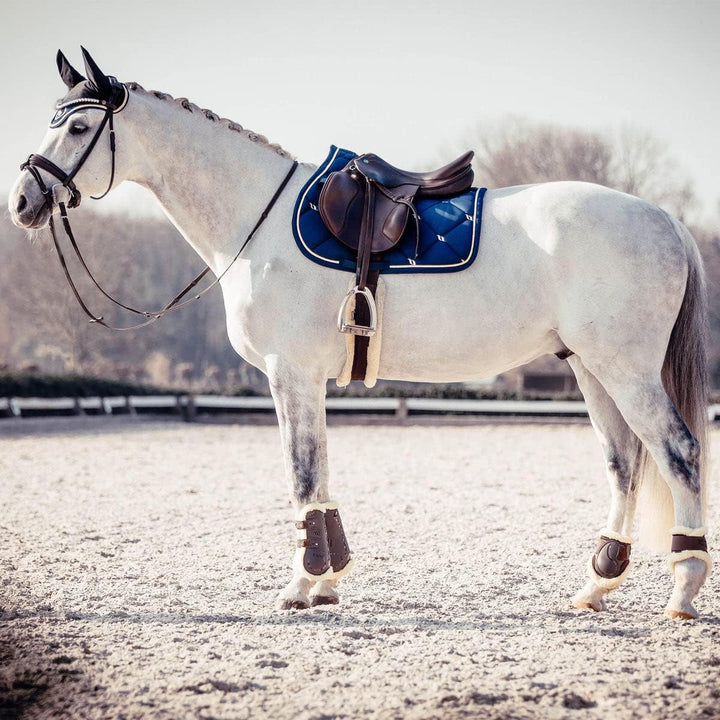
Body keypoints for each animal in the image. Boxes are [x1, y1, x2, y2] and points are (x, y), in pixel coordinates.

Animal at [8, 48, 711, 619]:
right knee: (625, 463)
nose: (22, 202)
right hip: (591, 368)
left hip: (625, 370)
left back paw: (683, 589)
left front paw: (300, 585)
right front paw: (328, 580)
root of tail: (665, 220)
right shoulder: (306, 379)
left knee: (679, 452)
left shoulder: (288, 372)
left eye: (78, 126)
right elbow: (318, 472)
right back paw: (596, 586)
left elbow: (300, 473)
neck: (256, 219)